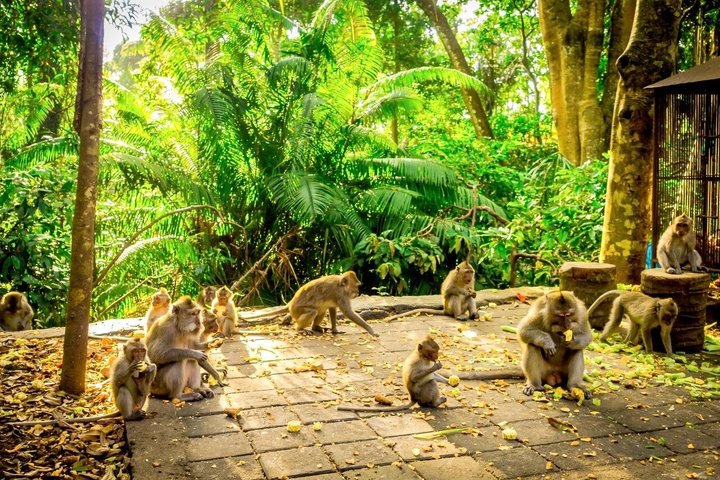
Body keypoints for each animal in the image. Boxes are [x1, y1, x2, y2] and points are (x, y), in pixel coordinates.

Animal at [238, 271, 378, 337]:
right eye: (357, 286)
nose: (358, 292)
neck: (341, 285)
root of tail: (290, 304)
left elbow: (332, 308)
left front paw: (335, 330)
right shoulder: (341, 295)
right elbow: (348, 313)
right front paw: (371, 330)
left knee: (321, 310)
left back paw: (315, 327)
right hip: (296, 311)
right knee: (313, 311)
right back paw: (300, 329)